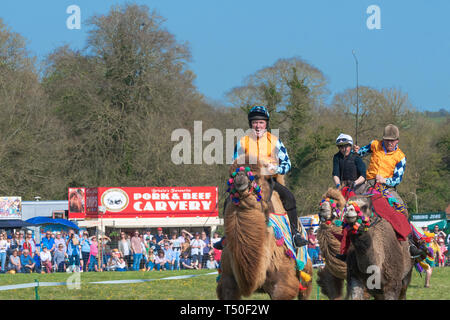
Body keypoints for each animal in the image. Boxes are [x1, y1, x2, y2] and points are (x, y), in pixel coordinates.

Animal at [216, 158, 312, 300]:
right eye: (231, 175)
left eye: (255, 176)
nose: (240, 176)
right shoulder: (227, 282)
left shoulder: (283, 285)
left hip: (306, 270)